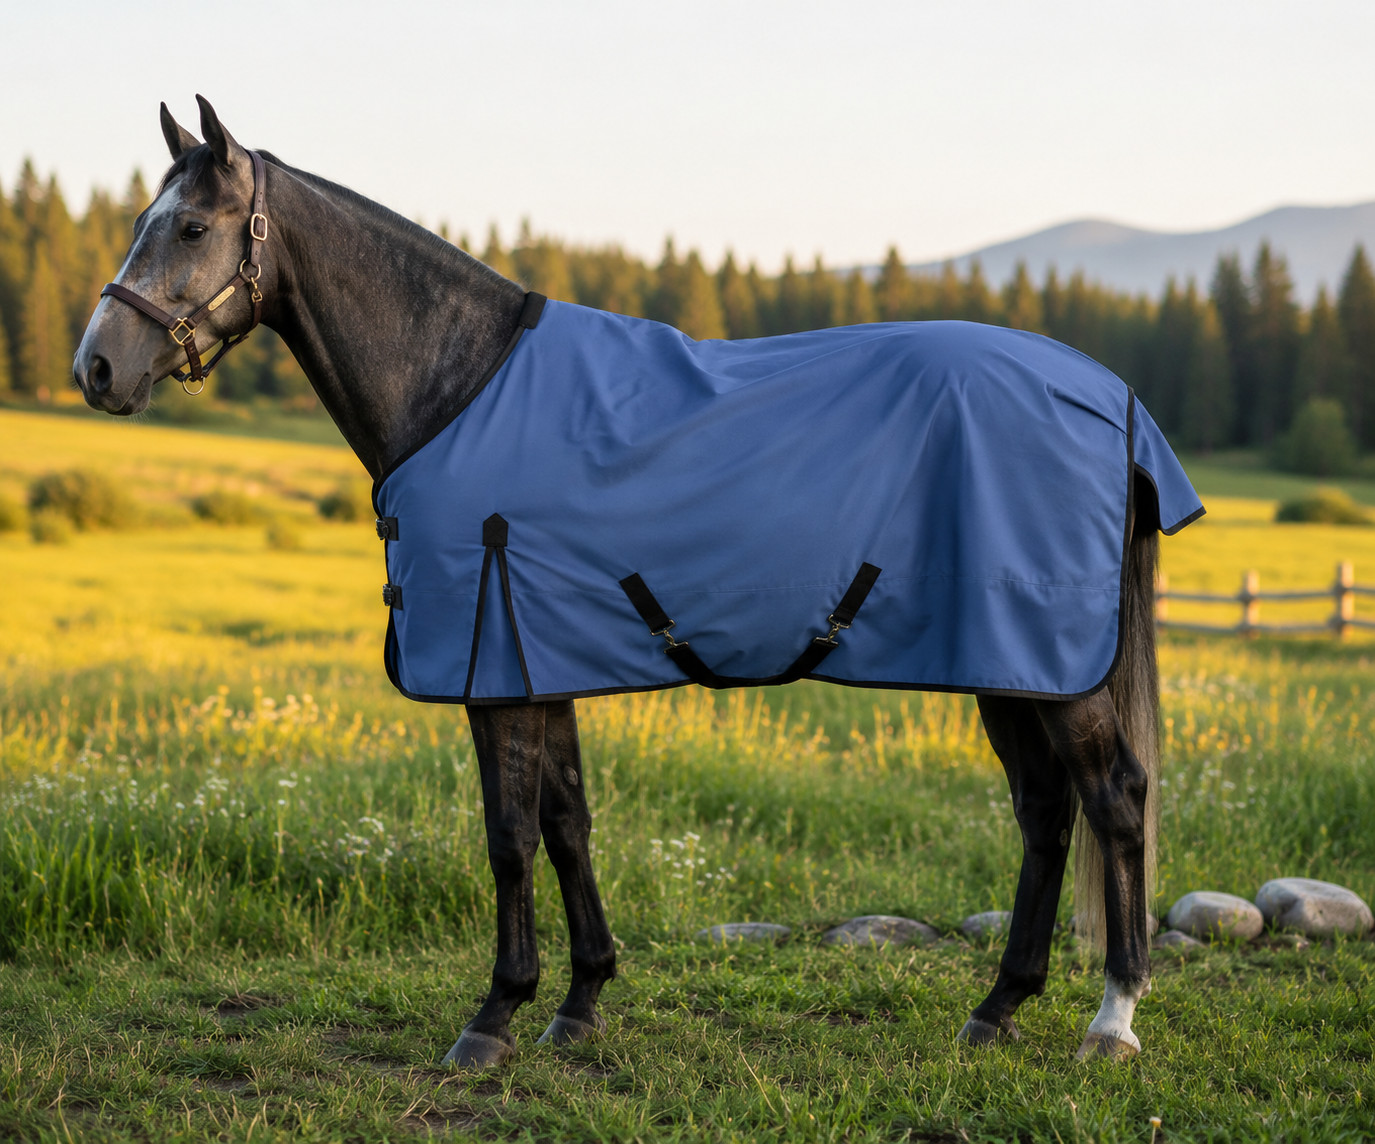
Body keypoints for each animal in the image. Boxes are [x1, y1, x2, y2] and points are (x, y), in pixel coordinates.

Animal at [74, 97, 1201, 1068]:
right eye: (140, 223)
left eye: (191, 228)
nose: (97, 368)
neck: (457, 383)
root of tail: (1110, 397)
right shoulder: (539, 659)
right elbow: (568, 826)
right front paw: (579, 1001)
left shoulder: (495, 670)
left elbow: (509, 838)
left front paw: (493, 1016)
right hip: (1008, 666)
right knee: (1046, 811)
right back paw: (998, 1005)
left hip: (1046, 665)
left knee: (1112, 800)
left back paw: (1112, 1017)